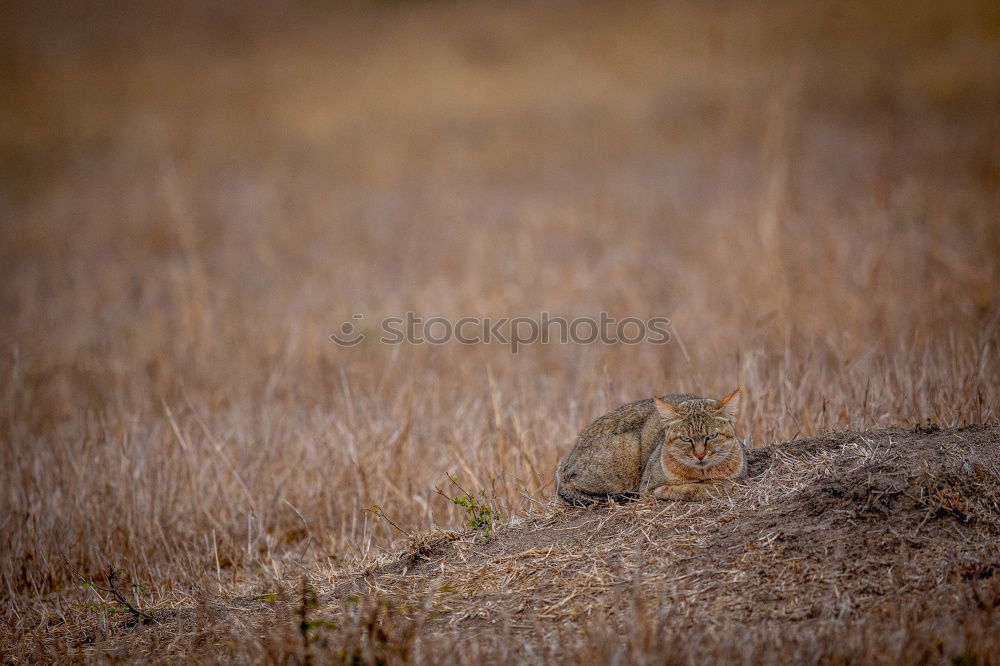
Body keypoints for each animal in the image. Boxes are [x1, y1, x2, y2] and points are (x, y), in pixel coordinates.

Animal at [560, 386, 748, 500]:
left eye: (712, 436)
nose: (700, 455)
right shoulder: (649, 488)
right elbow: (688, 489)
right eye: (685, 439)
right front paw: (712, 488)